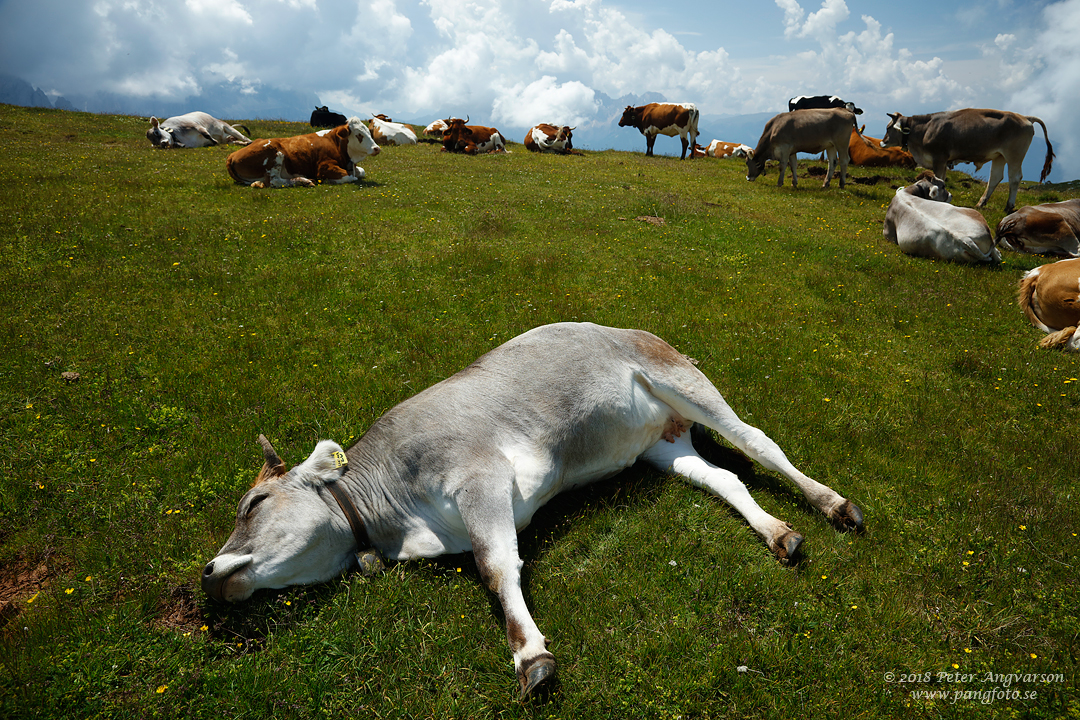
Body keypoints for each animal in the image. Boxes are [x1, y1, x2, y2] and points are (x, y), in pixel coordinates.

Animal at [200, 321, 859, 699]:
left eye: (253, 502)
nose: (208, 573)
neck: (402, 522)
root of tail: (629, 324)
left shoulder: (480, 476)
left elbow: (497, 569)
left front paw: (531, 655)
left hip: (681, 379)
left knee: (758, 443)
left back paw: (833, 504)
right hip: (660, 444)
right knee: (724, 478)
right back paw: (778, 533)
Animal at [223, 117, 380, 188]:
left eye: (369, 132)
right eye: (359, 135)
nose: (376, 148)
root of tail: (232, 155)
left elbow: (361, 172)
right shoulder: (323, 167)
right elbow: (350, 177)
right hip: (276, 155)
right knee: (274, 181)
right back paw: (302, 180)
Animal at [876, 106, 1054, 212]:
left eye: (888, 128)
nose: (882, 142)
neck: (924, 130)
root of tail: (1025, 117)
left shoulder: (939, 158)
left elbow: (938, 179)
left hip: (1014, 155)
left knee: (1015, 178)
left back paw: (1008, 206)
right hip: (1000, 156)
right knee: (995, 177)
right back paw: (981, 203)